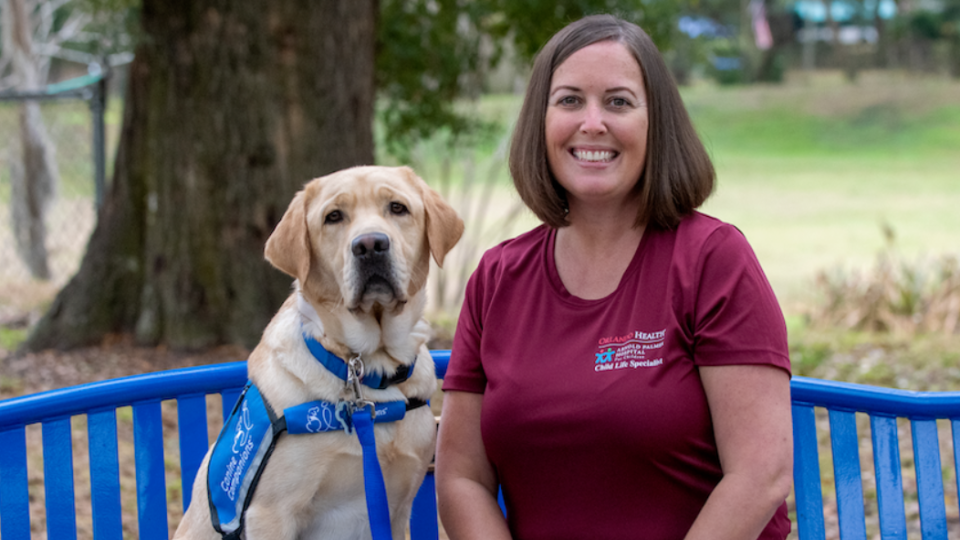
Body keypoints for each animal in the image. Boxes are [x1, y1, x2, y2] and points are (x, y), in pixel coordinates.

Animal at [178, 166, 466, 540]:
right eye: (333, 217)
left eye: (398, 208)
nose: (370, 245)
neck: (368, 370)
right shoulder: (270, 514)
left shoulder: (397, 507)